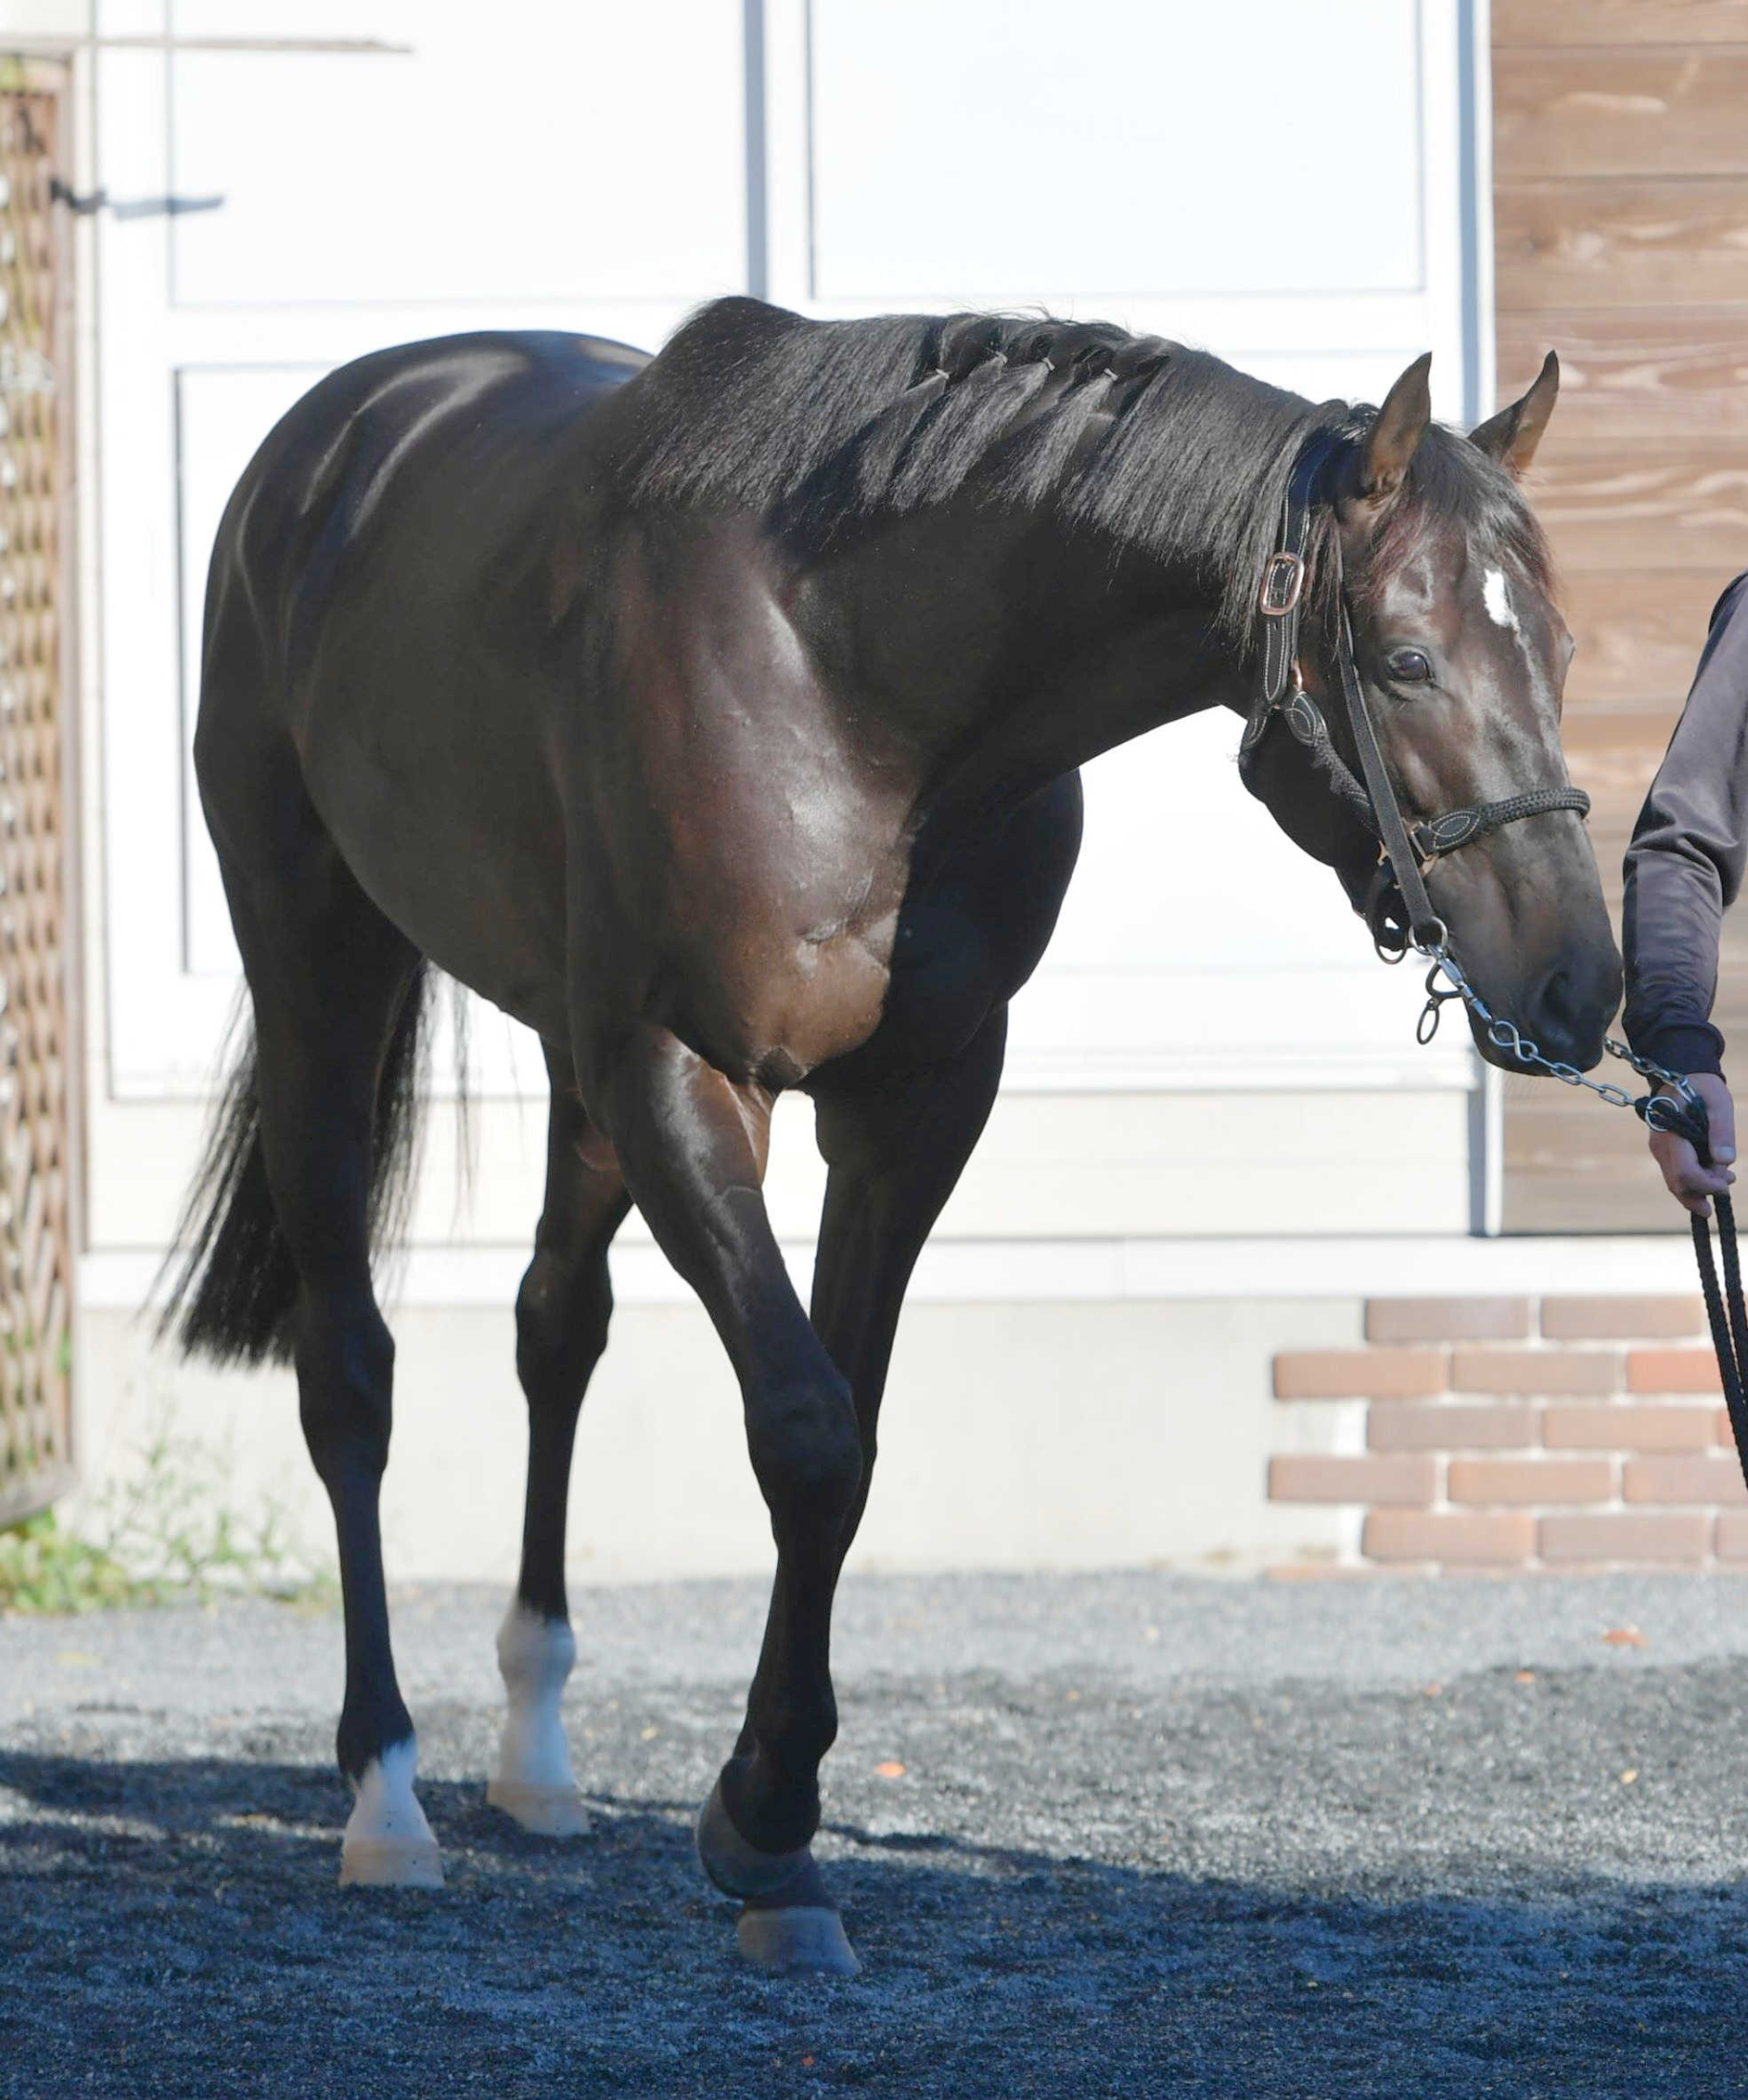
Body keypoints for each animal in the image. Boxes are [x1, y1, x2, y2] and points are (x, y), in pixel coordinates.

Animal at [163, 296, 1621, 1965]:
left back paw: (533, 1754)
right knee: (350, 1372)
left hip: (565, 1053)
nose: (1577, 988)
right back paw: (386, 1794)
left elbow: (848, 1449)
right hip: (320, 966)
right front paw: (767, 1831)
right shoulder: (678, 1071)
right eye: (1399, 658)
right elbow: (803, 1434)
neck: (854, 686)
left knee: (554, 1329)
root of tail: (335, 433)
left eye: (1555, 646)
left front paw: (767, 1818)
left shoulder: (909, 1105)